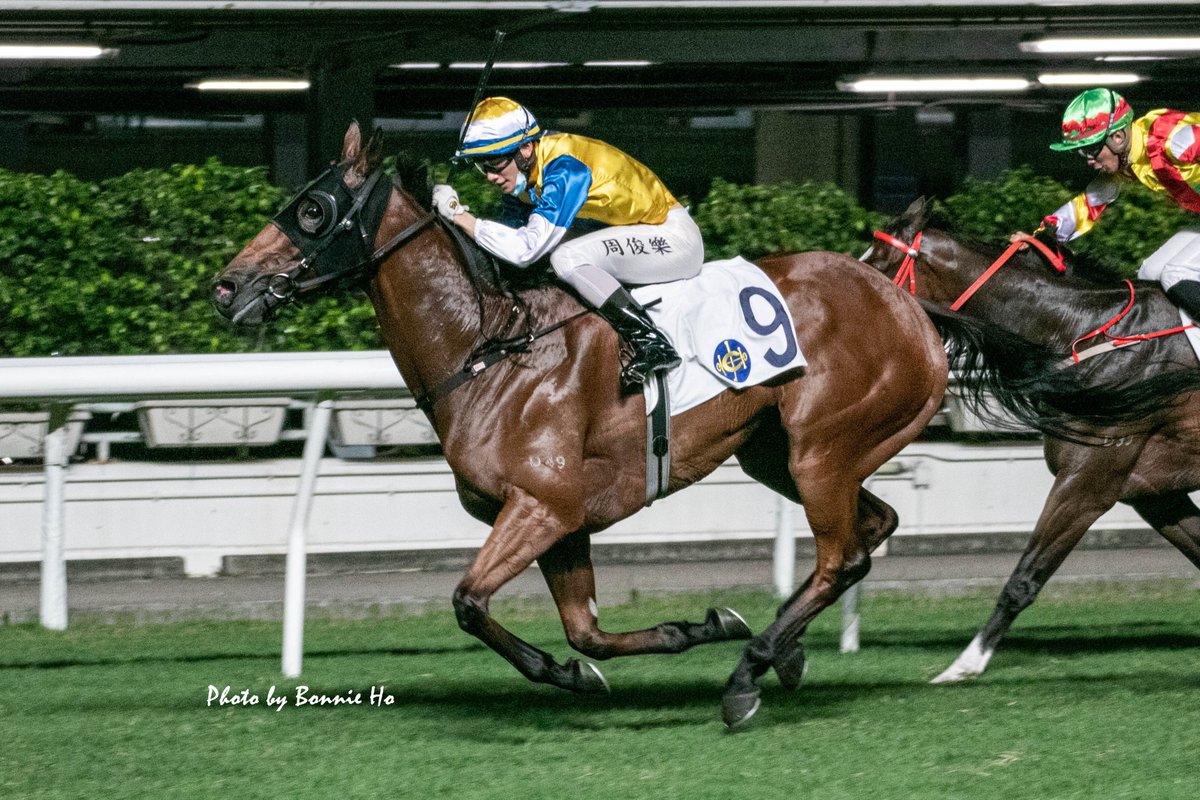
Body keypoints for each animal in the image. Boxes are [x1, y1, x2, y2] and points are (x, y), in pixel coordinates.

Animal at [212, 122, 947, 728]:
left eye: (312, 209)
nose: (227, 286)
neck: (489, 349)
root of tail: (902, 301)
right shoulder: (561, 523)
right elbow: (584, 632)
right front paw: (677, 635)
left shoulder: (542, 506)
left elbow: (468, 601)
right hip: (779, 453)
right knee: (871, 530)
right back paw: (783, 652)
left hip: (822, 449)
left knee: (840, 557)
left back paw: (749, 674)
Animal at [865, 197, 1200, 683]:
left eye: (876, 264)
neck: (1090, 335)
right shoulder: (1153, 491)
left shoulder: (1088, 479)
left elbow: (1025, 576)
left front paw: (965, 665)